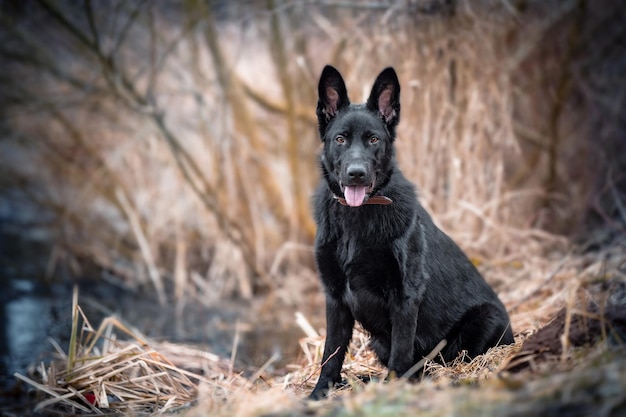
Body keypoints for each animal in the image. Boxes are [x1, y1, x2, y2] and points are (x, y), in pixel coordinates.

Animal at [308, 66, 512, 398]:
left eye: (373, 139)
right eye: (340, 139)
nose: (356, 174)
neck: (357, 218)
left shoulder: (405, 293)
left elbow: (401, 351)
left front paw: (394, 389)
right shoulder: (335, 297)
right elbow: (331, 352)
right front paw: (319, 393)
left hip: (486, 317)